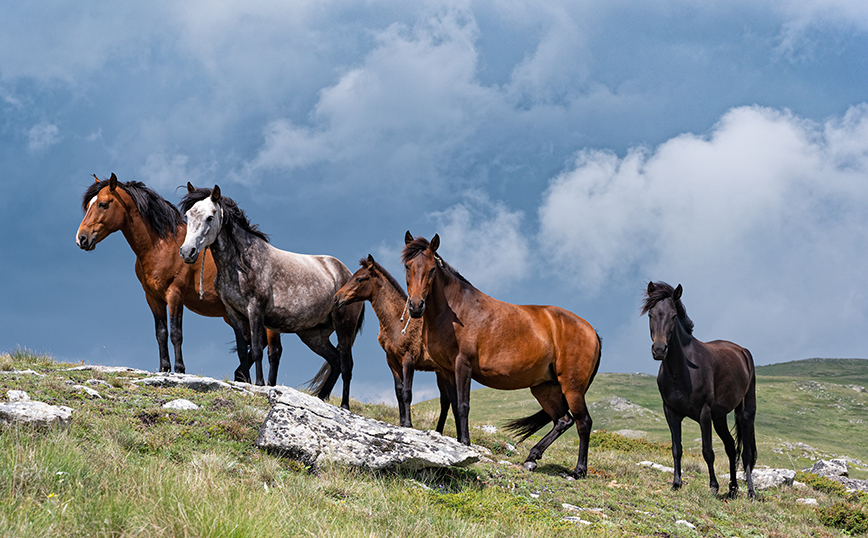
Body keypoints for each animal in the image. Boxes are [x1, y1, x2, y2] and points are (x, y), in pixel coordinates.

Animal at [76, 173, 282, 376]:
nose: (82, 238)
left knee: (273, 351)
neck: (161, 246)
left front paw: (179, 369)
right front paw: (164, 368)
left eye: (103, 204)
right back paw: (240, 374)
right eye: (88, 205)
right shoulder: (153, 297)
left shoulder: (174, 294)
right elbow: (161, 332)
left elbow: (176, 333)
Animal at [180, 182, 362, 404]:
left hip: (344, 327)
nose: (187, 252)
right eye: (188, 215)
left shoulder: (255, 310)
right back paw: (321, 397)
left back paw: (344, 405)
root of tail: (348, 274)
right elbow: (243, 352)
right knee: (335, 361)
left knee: (346, 364)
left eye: (209, 217)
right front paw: (246, 383)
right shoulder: (234, 313)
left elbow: (257, 350)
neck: (242, 263)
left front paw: (259, 384)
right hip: (313, 335)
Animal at [336, 253, 450, 430]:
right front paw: (402, 422)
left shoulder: (408, 360)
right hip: (441, 371)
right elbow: (398, 391)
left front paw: (408, 424)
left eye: (359, 279)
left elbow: (407, 392)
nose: (337, 298)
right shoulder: (391, 360)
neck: (397, 322)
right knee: (447, 400)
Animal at [402, 231, 600, 478]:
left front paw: (465, 444)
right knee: (563, 421)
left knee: (584, 423)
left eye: (431, 269)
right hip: (545, 388)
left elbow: (463, 406)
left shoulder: (463, 365)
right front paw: (459, 444)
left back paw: (578, 471)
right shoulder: (447, 370)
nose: (416, 306)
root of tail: (592, 331)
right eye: (408, 266)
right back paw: (531, 458)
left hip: (572, 387)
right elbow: (455, 406)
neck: (455, 311)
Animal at [640, 282, 756, 496]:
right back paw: (733, 489)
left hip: (745, 412)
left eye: (673, 316)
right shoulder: (671, 411)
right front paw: (676, 483)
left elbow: (707, 451)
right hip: (719, 417)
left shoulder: (704, 413)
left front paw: (713, 486)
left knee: (746, 453)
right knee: (730, 446)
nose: (659, 350)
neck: (681, 371)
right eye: (651, 314)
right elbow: (676, 448)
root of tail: (742, 351)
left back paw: (751, 492)